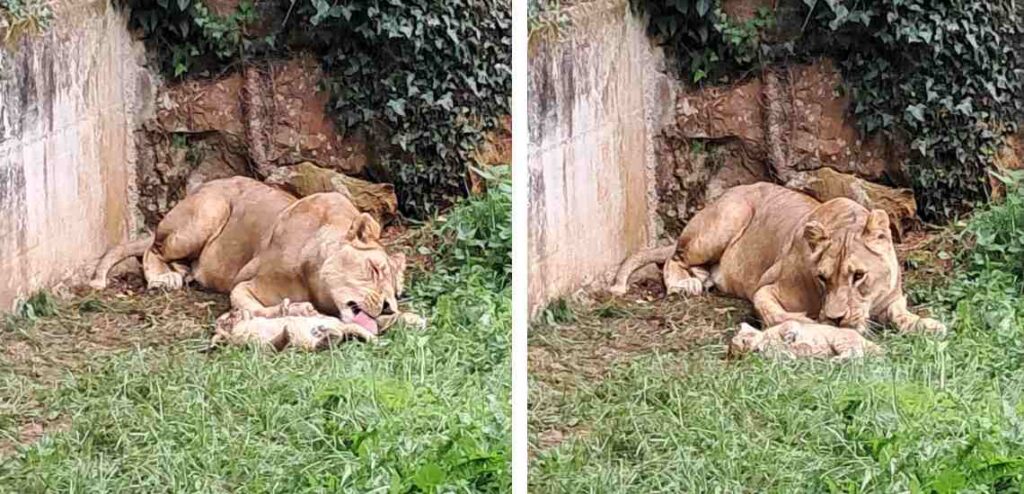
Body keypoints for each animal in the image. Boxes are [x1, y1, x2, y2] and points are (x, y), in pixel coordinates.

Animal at [90, 176, 424, 335]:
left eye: (396, 293)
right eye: (375, 269)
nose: (388, 306)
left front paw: (409, 318)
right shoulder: (245, 284)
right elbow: (256, 308)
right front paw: (297, 310)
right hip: (208, 210)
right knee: (151, 248)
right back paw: (165, 278)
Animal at [611, 182, 944, 335]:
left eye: (859, 276)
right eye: (822, 278)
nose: (836, 319)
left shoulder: (891, 297)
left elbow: (901, 313)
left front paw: (927, 324)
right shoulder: (766, 287)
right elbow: (772, 312)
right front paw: (806, 321)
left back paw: (702, 278)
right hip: (728, 217)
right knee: (673, 257)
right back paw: (685, 284)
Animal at [729, 321, 882, 361]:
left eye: (744, 341)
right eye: (739, 355)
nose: (750, 352)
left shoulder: (790, 323)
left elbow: (787, 327)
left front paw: (789, 338)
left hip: (839, 339)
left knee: (857, 353)